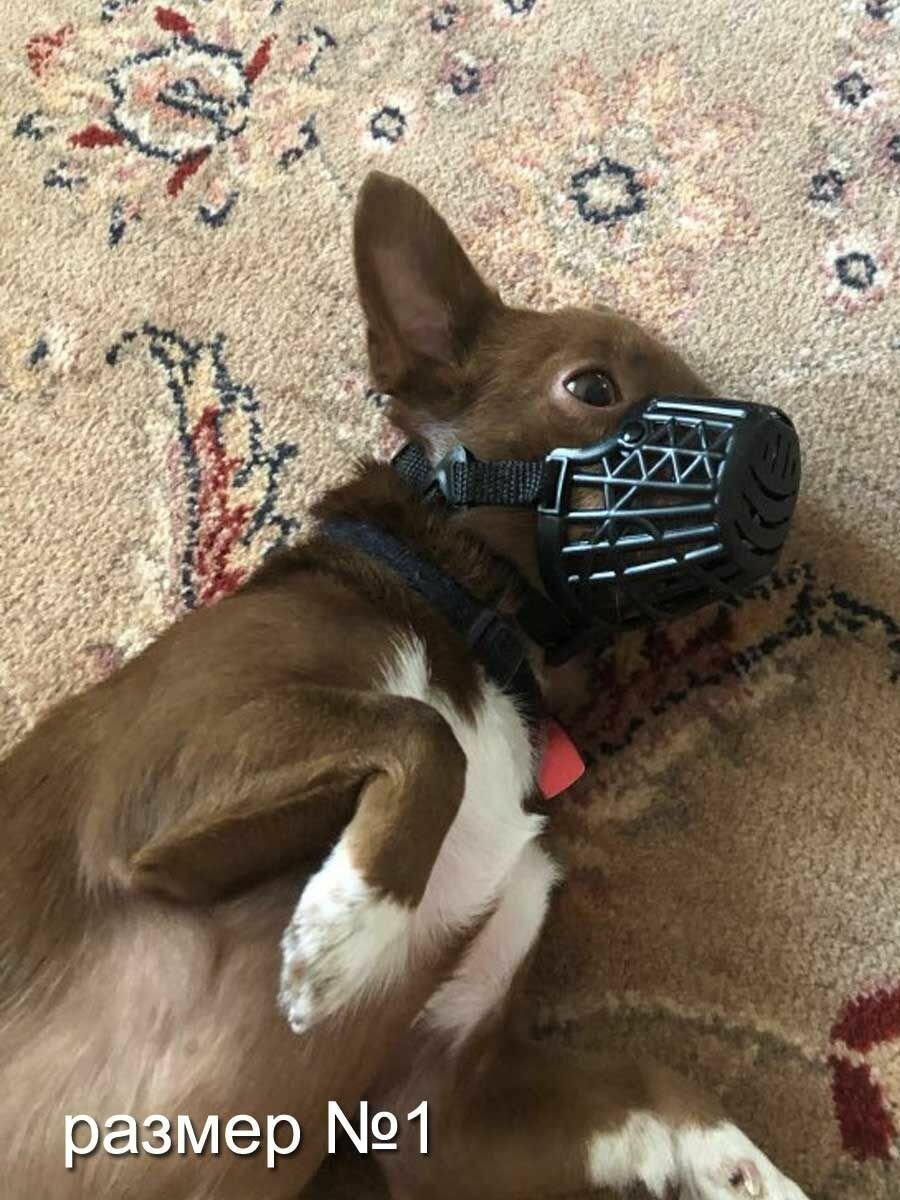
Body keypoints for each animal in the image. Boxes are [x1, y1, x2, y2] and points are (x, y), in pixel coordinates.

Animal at [0, 172, 809, 1200]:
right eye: (592, 387)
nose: (781, 448)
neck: (479, 630)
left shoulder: (440, 1111)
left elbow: (652, 1079)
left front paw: (753, 1173)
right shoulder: (149, 787)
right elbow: (421, 734)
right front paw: (347, 931)